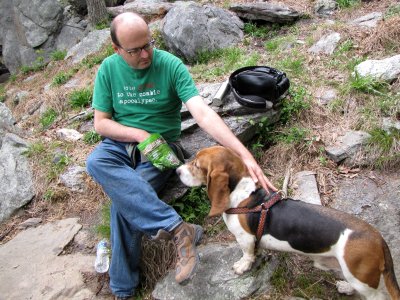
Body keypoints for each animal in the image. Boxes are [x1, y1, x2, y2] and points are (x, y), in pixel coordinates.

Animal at [177, 146, 400, 300]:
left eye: (196, 165)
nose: (177, 171)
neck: (242, 193)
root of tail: (378, 238)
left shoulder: (245, 238)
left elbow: (247, 254)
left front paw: (242, 266)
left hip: (361, 278)